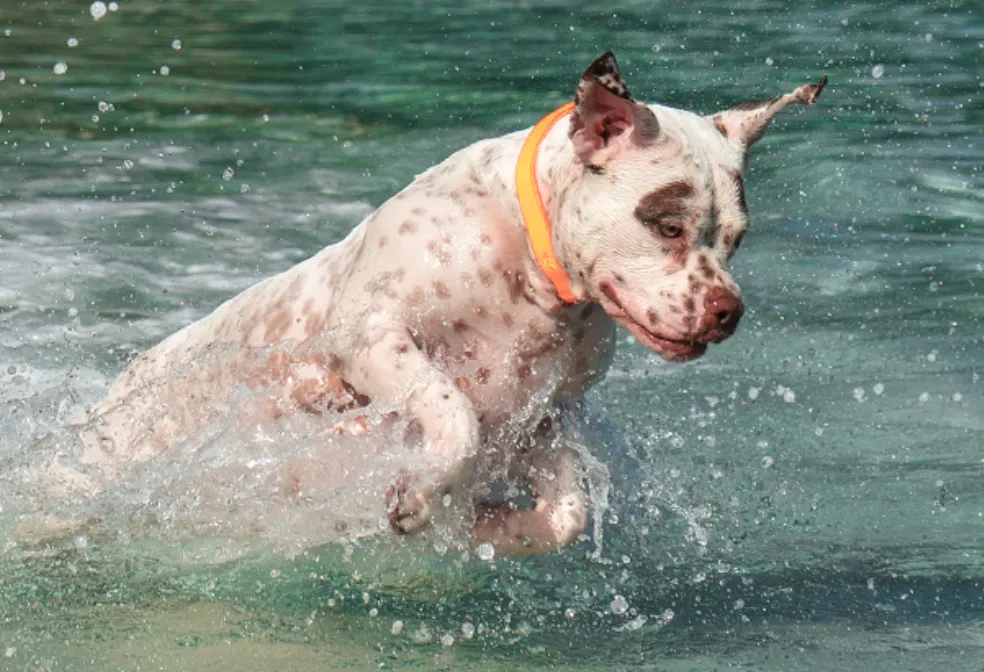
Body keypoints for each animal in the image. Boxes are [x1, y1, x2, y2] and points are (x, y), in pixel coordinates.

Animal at [84, 52, 828, 556]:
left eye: (735, 239)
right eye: (668, 226)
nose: (728, 311)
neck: (528, 269)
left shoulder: (543, 414)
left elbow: (568, 512)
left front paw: (483, 523)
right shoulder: (372, 338)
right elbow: (454, 412)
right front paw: (423, 494)